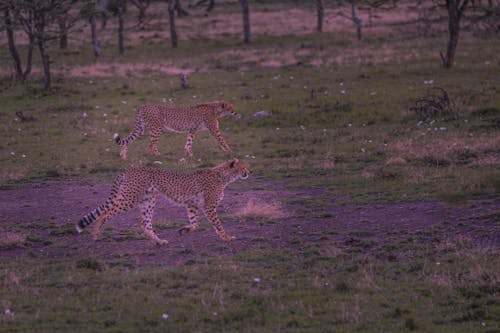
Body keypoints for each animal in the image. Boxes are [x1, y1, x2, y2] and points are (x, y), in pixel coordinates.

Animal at [75, 157, 248, 245]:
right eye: (243, 167)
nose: (248, 172)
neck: (224, 176)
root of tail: (130, 169)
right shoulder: (209, 206)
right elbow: (218, 224)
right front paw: (226, 237)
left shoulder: (192, 204)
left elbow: (195, 223)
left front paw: (183, 231)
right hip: (129, 198)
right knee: (105, 212)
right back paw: (96, 234)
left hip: (149, 201)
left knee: (144, 224)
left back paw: (158, 241)